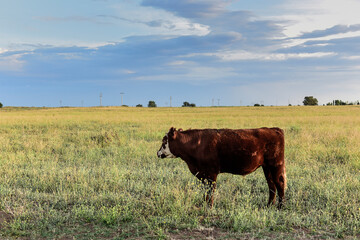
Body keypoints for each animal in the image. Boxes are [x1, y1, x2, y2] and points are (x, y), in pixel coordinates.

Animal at [158, 127, 286, 208]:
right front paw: (205, 204)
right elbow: (206, 190)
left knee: (279, 184)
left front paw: (209, 206)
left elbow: (211, 190)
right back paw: (269, 205)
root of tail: (273, 129)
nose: (158, 153)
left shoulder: (211, 173)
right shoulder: (203, 175)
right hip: (267, 167)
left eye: (164, 141)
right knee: (271, 186)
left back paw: (280, 207)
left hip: (275, 164)